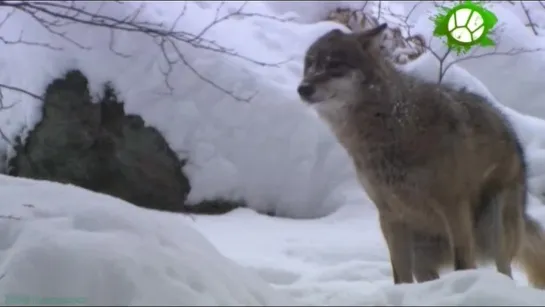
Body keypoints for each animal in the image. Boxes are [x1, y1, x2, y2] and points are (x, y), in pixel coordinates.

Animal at [298, 24, 545, 288]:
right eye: (310, 64)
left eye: (334, 64)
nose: (302, 88)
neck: (393, 125)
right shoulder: (389, 216)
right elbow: (400, 276)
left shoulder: (453, 206)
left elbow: (463, 263)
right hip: (423, 257)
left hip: (493, 228)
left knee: (504, 271)